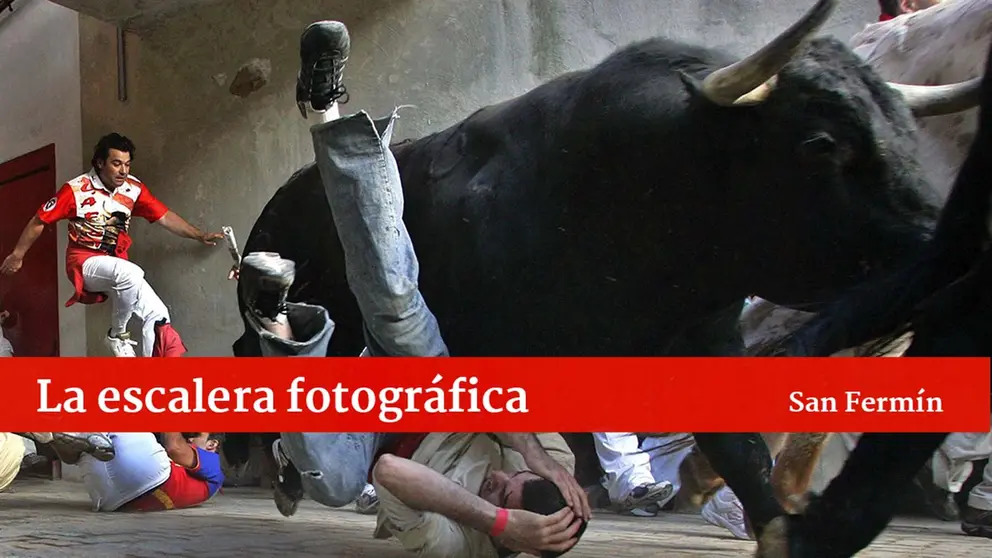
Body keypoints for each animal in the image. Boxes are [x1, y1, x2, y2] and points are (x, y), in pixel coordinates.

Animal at [231, 0, 976, 556]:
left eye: (905, 129)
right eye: (821, 144)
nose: (939, 244)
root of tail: (280, 196)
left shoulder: (704, 336)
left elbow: (739, 448)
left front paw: (774, 523)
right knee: (253, 348)